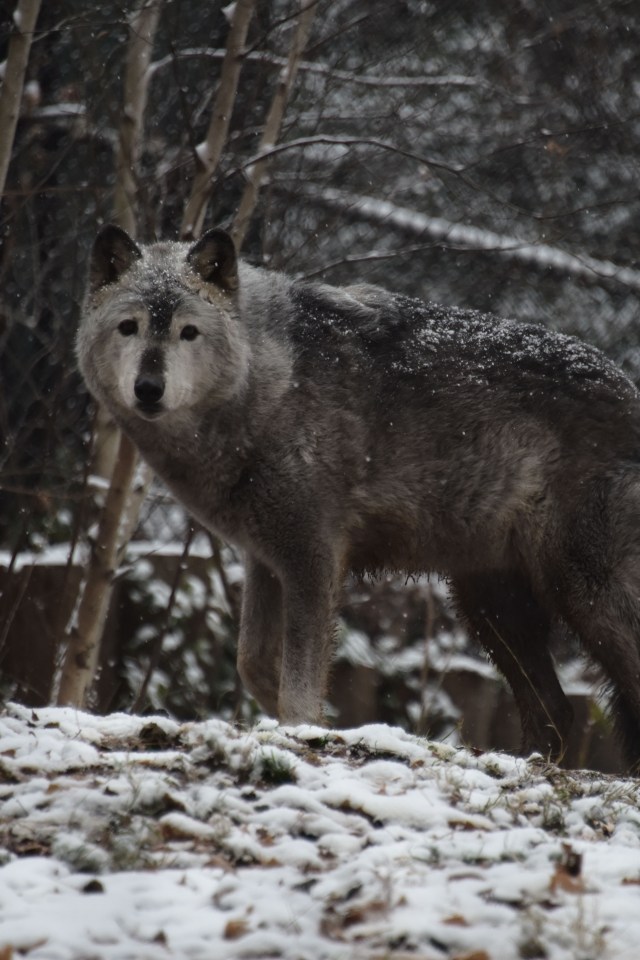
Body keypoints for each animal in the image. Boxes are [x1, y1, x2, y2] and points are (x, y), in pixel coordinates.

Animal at [79, 223, 640, 764]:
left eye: (187, 332)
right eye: (129, 327)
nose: (148, 388)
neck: (267, 386)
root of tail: (630, 388)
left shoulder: (314, 558)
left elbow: (297, 686)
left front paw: (307, 734)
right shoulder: (266, 560)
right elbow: (253, 665)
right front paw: (322, 725)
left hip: (581, 594)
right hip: (488, 604)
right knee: (556, 711)